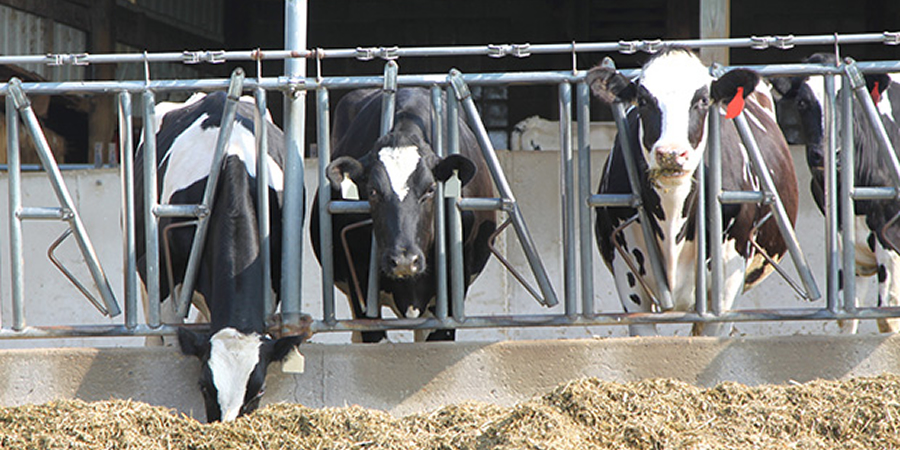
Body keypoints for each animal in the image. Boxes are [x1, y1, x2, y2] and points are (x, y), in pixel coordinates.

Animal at [771, 53, 900, 333]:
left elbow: (887, 317)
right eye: (802, 102)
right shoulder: (846, 242)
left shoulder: (889, 237)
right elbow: (848, 315)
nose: (824, 153)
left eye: (848, 99)